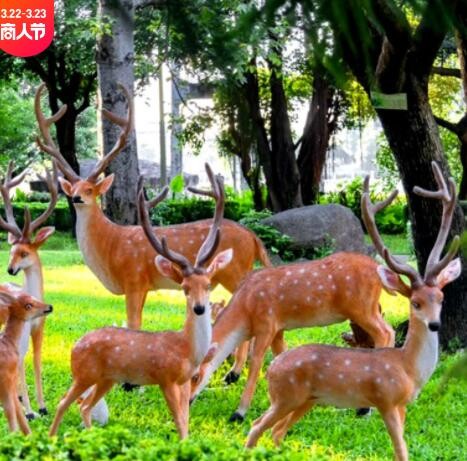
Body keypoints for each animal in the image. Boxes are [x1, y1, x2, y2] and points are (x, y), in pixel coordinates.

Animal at [34, 82, 270, 330]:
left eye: (90, 189)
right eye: (73, 190)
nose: (78, 198)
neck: (110, 245)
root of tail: (254, 238)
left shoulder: (134, 278)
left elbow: (133, 324)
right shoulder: (144, 285)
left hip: (235, 270)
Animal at [48, 164, 233, 436]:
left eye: (208, 285)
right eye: (184, 288)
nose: (199, 308)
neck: (186, 350)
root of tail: (74, 345)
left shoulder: (184, 382)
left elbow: (185, 423)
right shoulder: (165, 378)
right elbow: (179, 422)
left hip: (106, 378)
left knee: (84, 406)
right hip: (84, 374)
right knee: (63, 402)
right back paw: (52, 437)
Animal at [247, 162, 462, 460]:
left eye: (440, 297)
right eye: (415, 302)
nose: (434, 325)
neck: (408, 368)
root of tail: (272, 368)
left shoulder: (402, 405)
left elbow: (403, 447)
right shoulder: (385, 399)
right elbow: (400, 449)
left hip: (305, 400)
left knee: (276, 432)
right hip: (286, 395)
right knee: (256, 427)